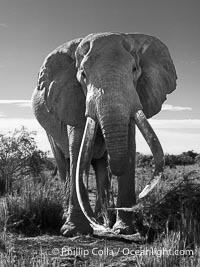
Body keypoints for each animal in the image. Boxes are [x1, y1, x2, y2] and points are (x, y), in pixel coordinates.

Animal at [32, 33, 177, 237]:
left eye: (134, 69)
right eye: (83, 75)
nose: (141, 195)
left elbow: (129, 147)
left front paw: (124, 230)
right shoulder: (72, 100)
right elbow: (77, 148)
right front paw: (73, 231)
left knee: (99, 168)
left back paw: (102, 220)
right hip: (49, 132)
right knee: (65, 165)